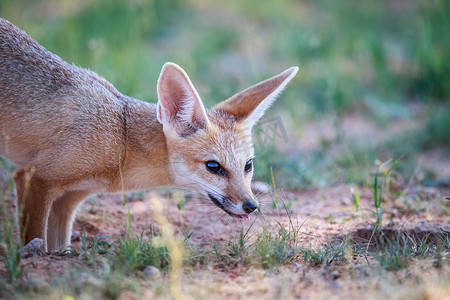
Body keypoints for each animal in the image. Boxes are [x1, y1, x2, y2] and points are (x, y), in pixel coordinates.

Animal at [0, 18, 298, 251]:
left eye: (248, 166)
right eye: (214, 167)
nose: (252, 206)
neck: (121, 139)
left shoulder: (68, 199)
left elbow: (57, 247)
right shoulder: (34, 178)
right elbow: (35, 239)